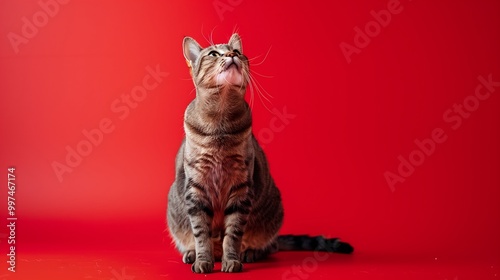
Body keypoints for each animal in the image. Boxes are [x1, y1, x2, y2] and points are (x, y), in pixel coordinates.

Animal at [166, 33, 354, 274]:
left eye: (238, 52)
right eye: (214, 53)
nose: (232, 54)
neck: (219, 124)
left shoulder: (241, 188)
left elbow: (233, 234)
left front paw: (231, 260)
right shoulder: (196, 188)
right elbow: (201, 233)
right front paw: (202, 260)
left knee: (269, 246)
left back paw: (250, 252)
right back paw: (192, 253)